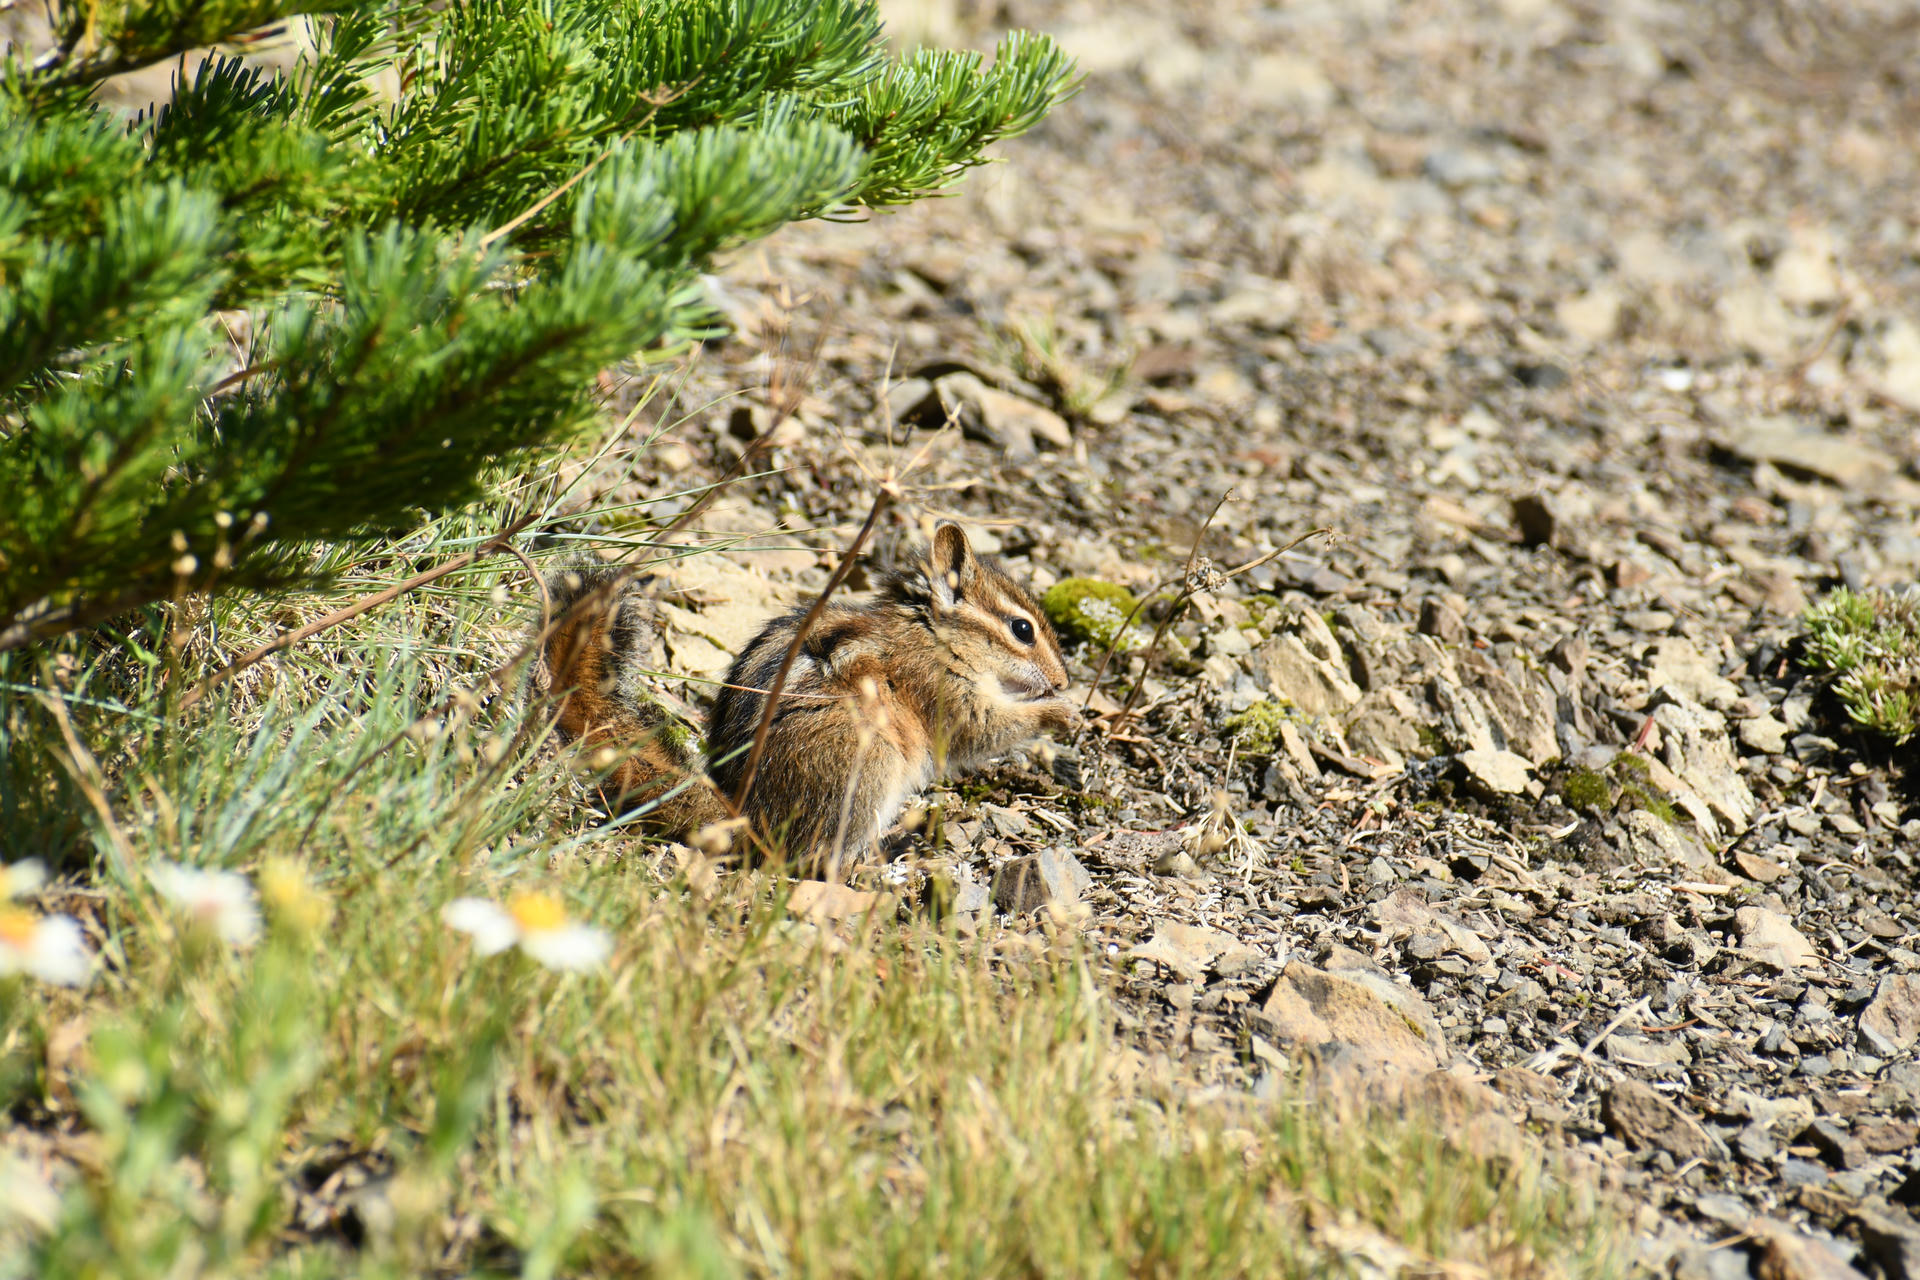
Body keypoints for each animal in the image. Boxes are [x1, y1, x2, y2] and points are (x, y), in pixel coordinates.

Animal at [543, 521, 1078, 867]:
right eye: (1022, 629)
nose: (1064, 681)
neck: (930, 634)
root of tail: (748, 820)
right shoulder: (941, 690)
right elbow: (985, 728)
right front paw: (1061, 713)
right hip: (867, 769)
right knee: (815, 859)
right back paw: (898, 848)